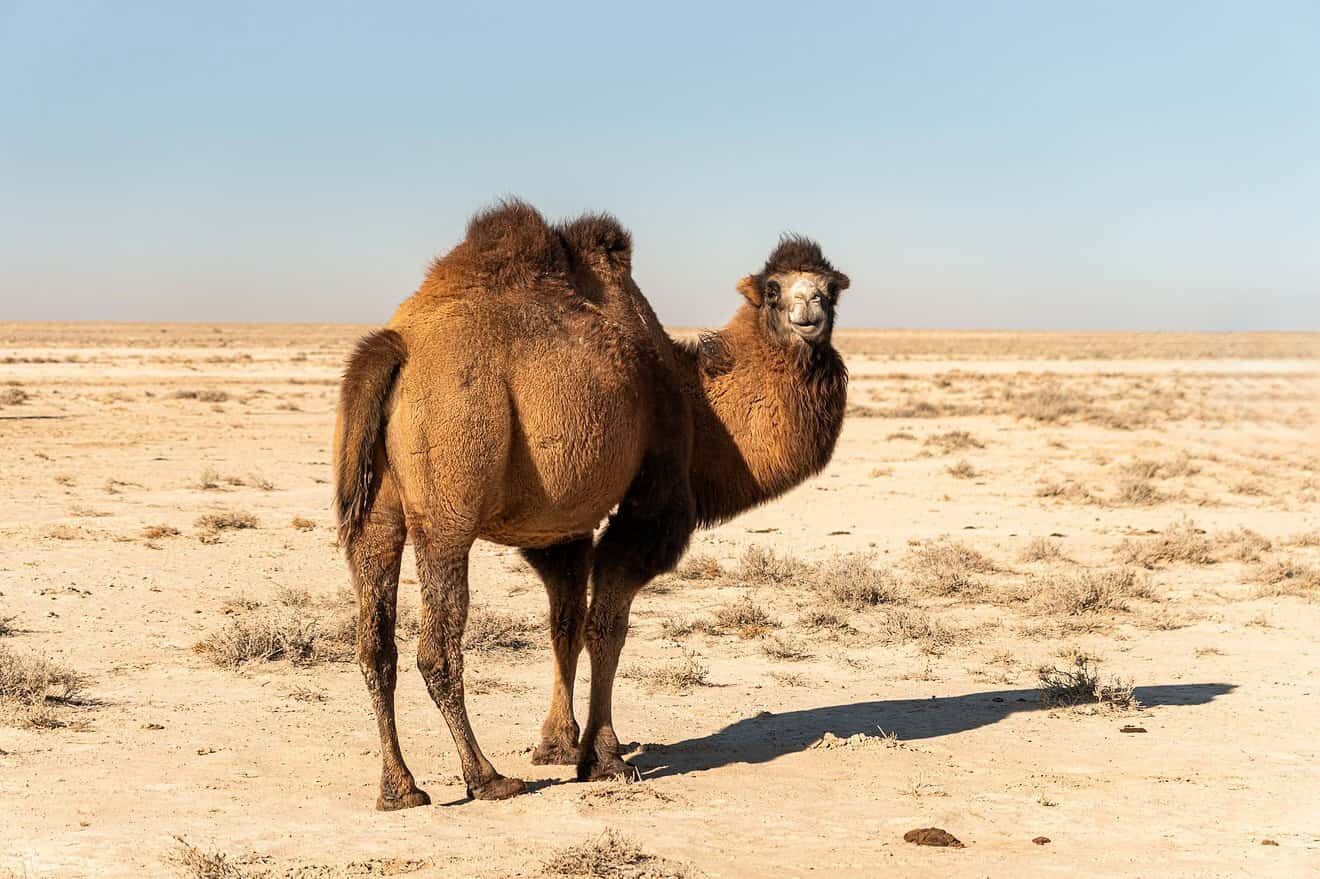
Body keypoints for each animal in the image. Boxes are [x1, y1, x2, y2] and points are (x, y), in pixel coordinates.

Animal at [334, 200, 850, 809]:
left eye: (830, 289)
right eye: (773, 290)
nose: (808, 312)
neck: (695, 399)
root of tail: (395, 350)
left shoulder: (563, 525)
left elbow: (566, 624)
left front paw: (557, 743)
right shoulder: (654, 496)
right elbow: (607, 626)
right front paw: (603, 756)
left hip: (375, 511)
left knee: (374, 642)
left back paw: (400, 787)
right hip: (450, 491)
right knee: (436, 645)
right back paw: (486, 778)